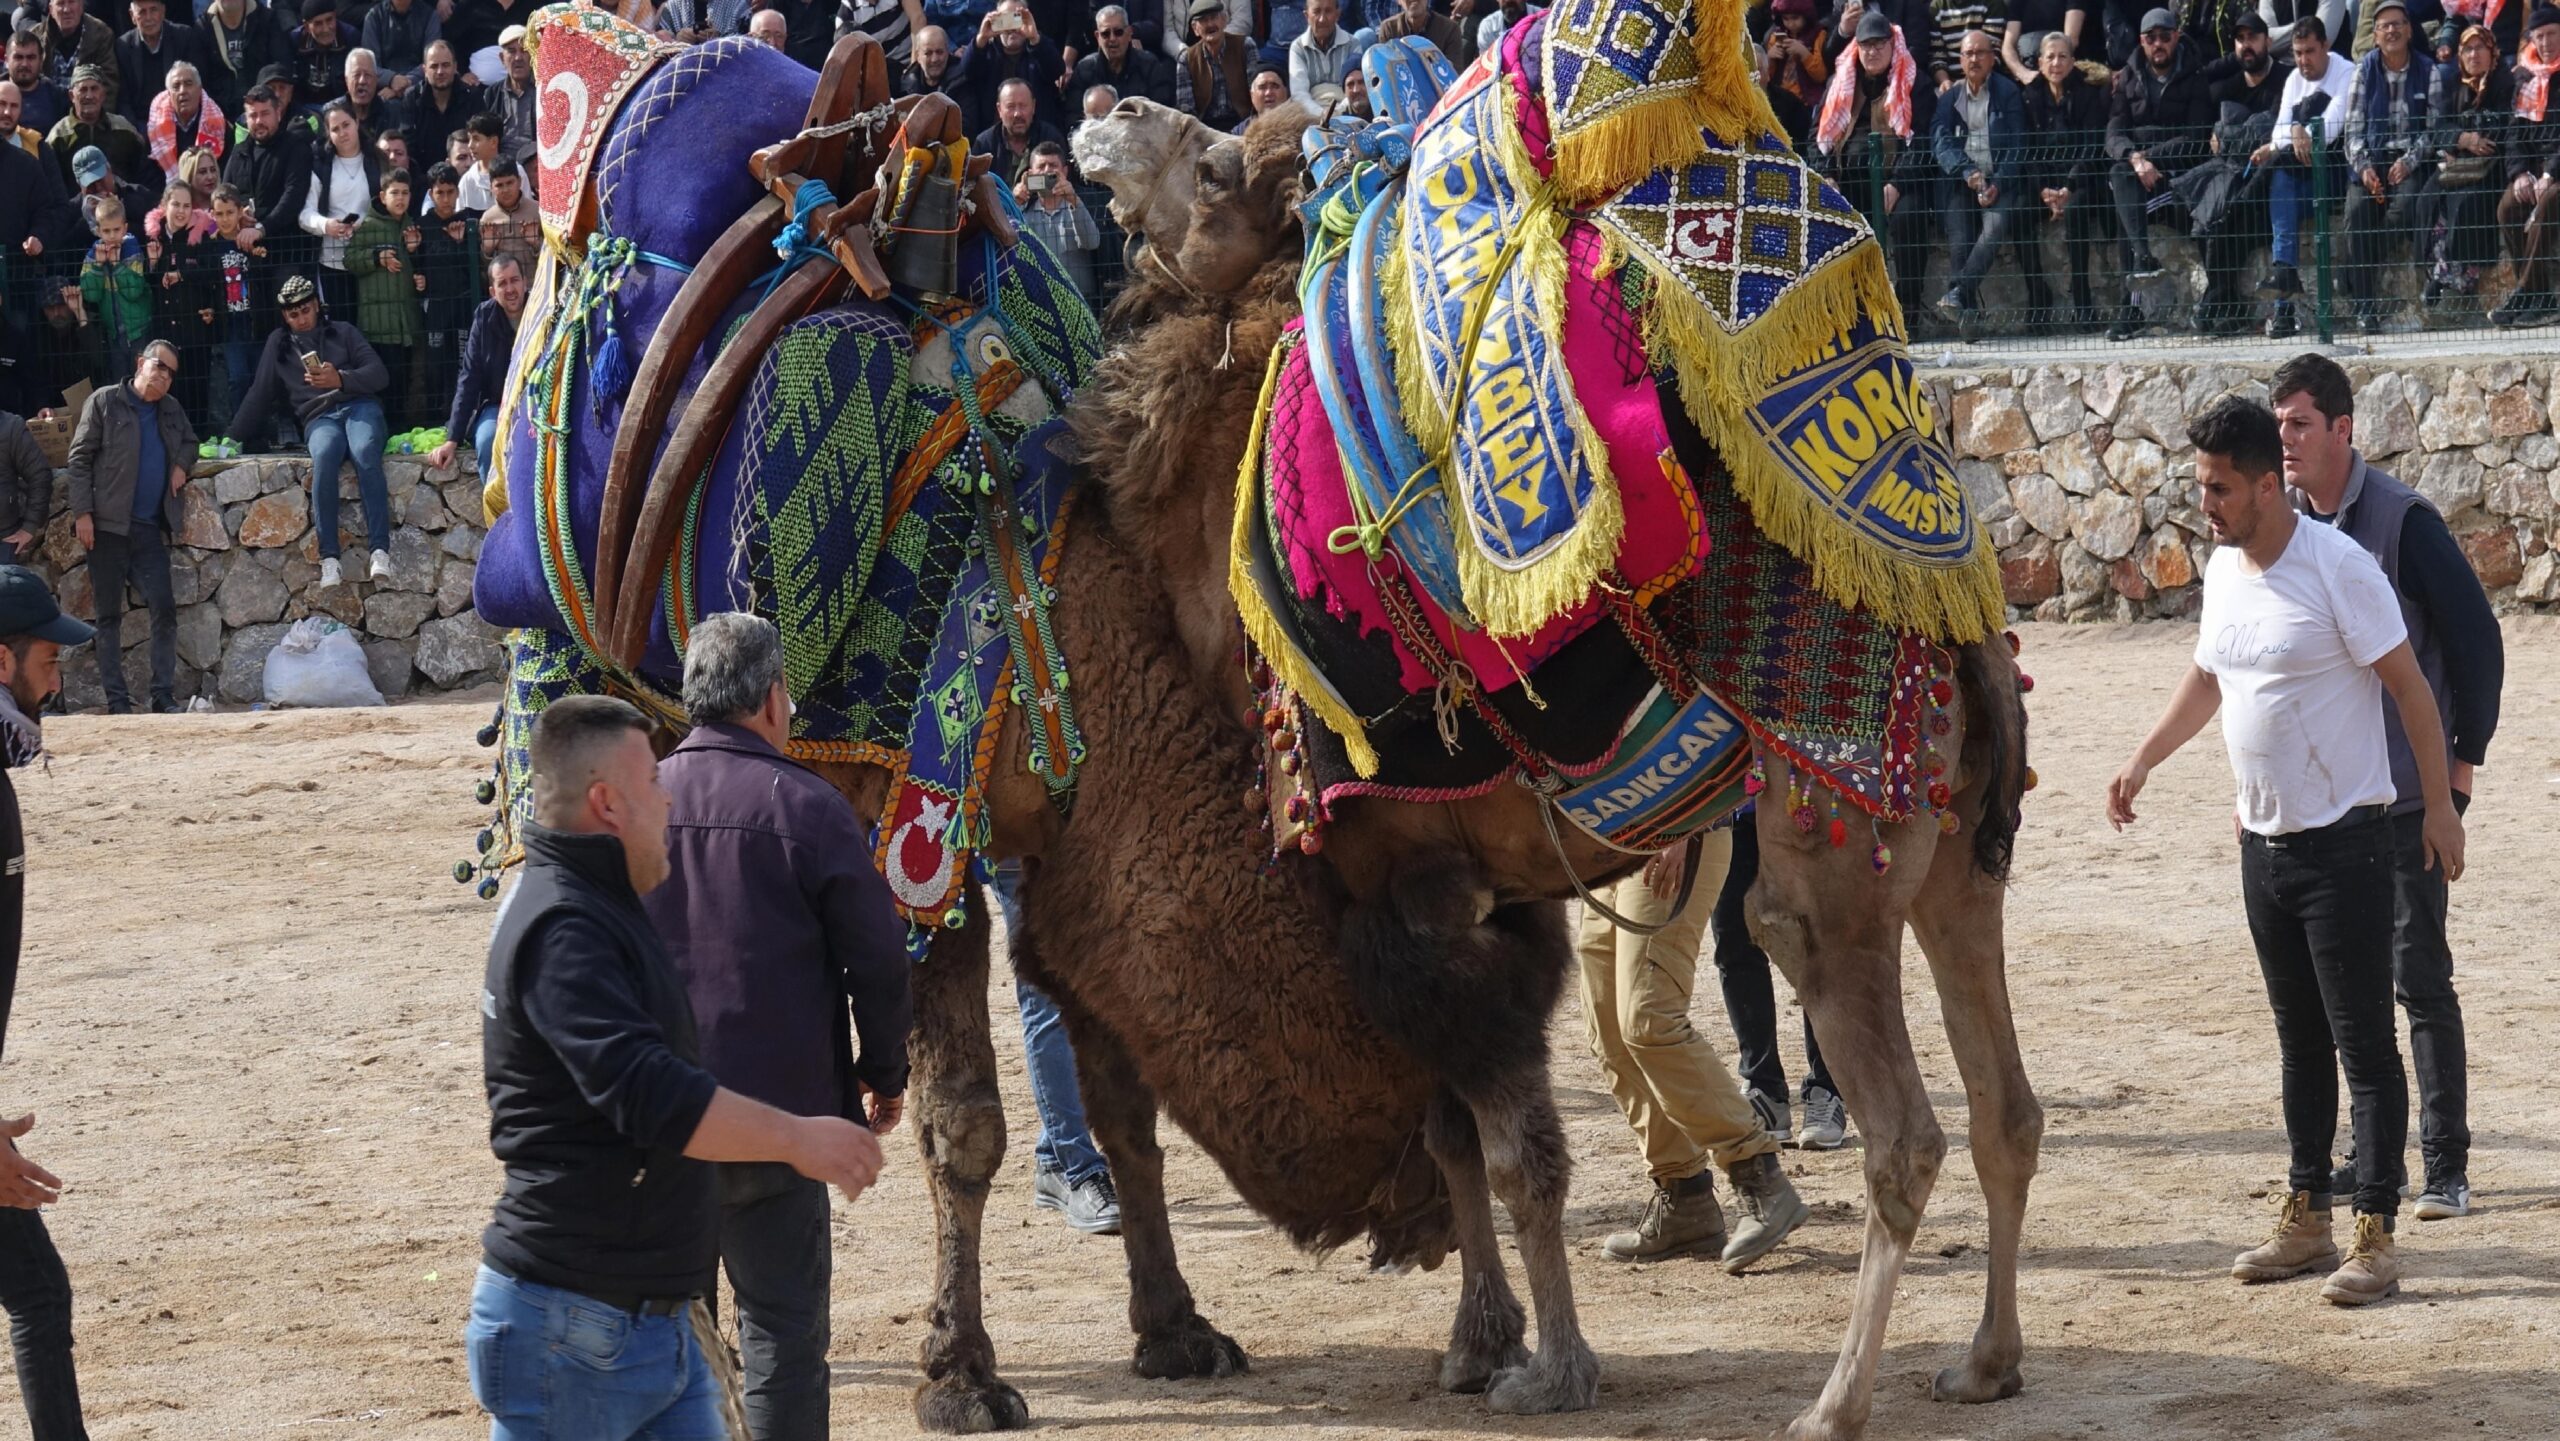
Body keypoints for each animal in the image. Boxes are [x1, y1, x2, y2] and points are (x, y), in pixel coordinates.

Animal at [455, 5, 2017, 1433]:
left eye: (1214, 160)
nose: (1105, 108)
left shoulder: (1329, 878)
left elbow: (1417, 1127)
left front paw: (1478, 1348)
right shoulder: (969, 835)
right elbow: (1028, 1118)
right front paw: (1014, 1364)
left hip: (1856, 863)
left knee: (1938, 1112)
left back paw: (1881, 1380)